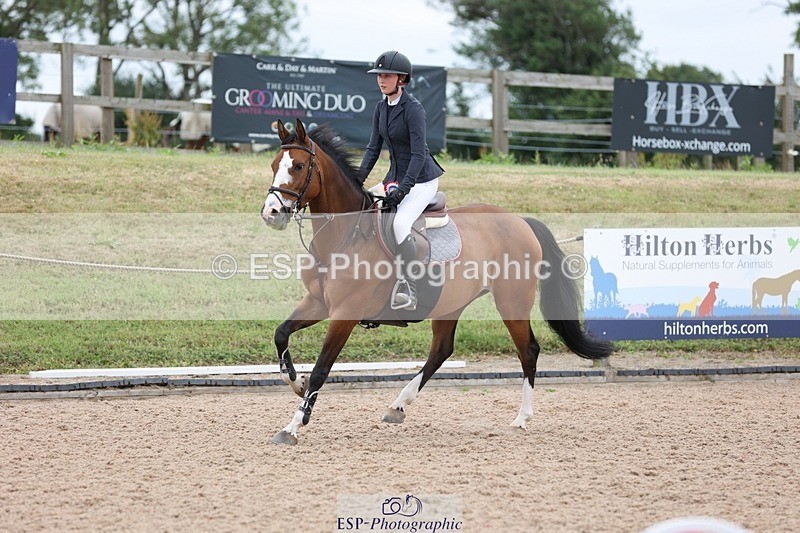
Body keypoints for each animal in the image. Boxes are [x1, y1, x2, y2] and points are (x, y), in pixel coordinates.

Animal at [260, 118, 614, 445]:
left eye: (299, 166)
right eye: (275, 165)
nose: (271, 213)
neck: (345, 236)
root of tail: (519, 221)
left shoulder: (345, 314)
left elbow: (323, 368)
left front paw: (293, 425)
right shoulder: (318, 302)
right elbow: (281, 334)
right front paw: (297, 383)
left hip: (511, 300)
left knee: (527, 349)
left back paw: (522, 418)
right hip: (450, 303)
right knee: (441, 351)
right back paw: (398, 406)